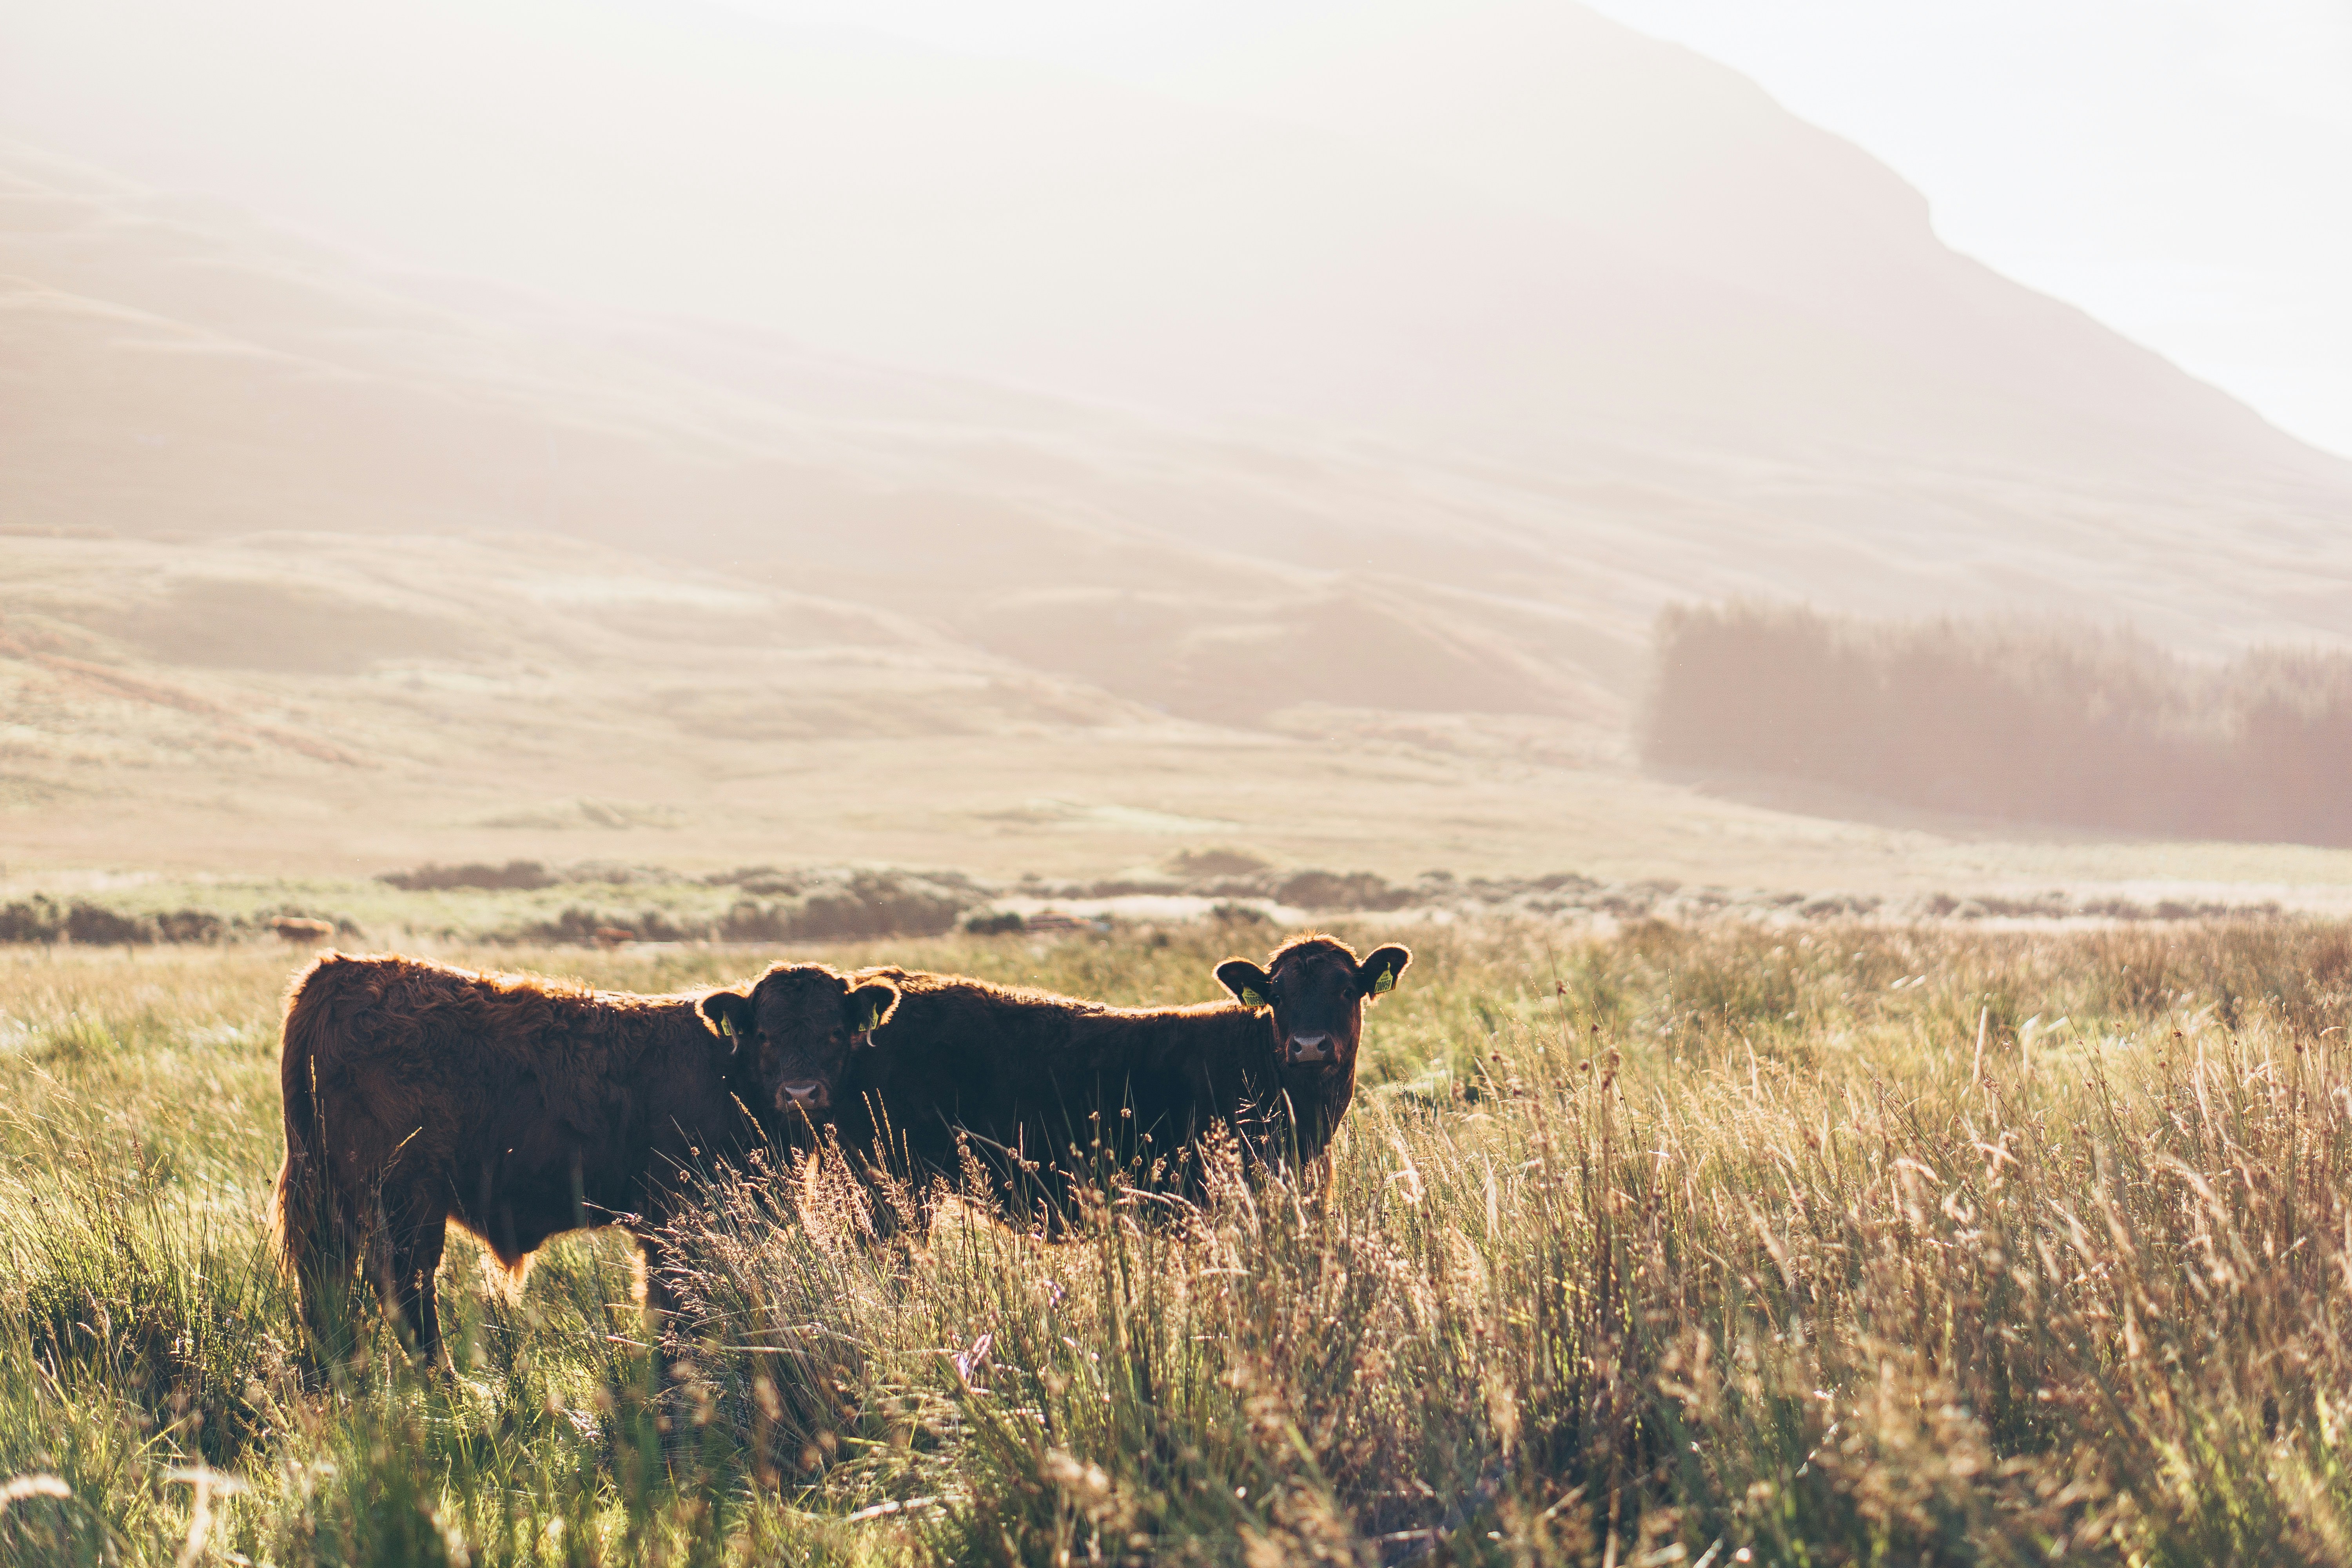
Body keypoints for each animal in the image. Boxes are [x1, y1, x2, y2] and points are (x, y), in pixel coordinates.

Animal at [269, 952, 900, 1363]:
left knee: (328, 1290)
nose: (801, 1093)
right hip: (403, 1202)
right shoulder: (676, 1221)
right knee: (405, 1292)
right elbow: (678, 1307)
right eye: (765, 1035)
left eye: (836, 1032)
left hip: (339, 1204)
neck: (726, 1071)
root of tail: (341, 972)